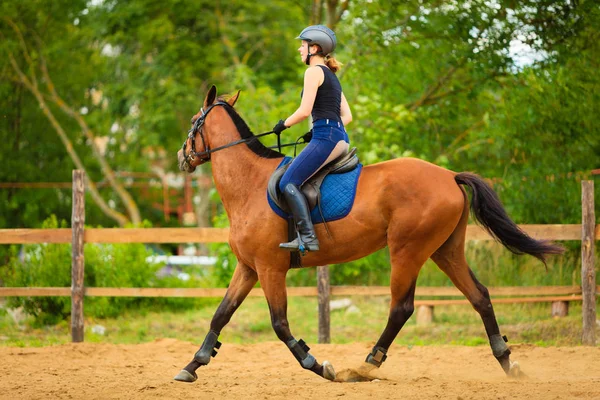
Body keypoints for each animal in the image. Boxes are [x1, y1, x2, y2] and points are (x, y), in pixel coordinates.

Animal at [172, 86, 564, 382]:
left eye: (193, 122)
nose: (181, 157)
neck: (250, 185)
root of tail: (449, 176)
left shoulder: (270, 268)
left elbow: (280, 324)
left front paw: (319, 366)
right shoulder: (249, 268)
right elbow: (220, 315)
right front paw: (192, 365)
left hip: (407, 250)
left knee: (401, 307)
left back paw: (367, 364)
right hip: (445, 250)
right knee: (479, 296)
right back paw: (507, 361)